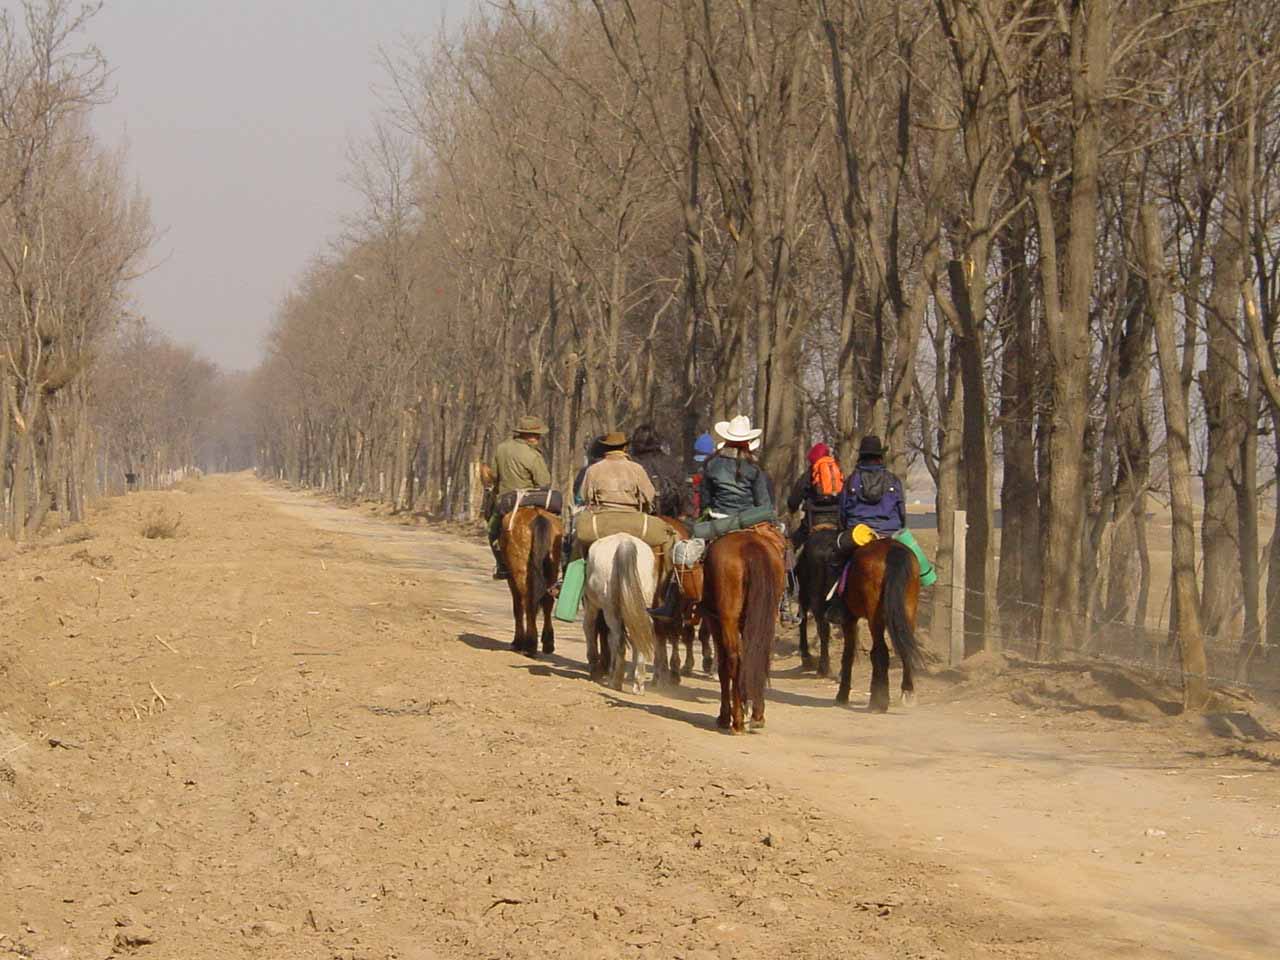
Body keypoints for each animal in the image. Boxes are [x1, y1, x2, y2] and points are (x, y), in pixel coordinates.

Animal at [496, 506, 563, 660]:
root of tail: (538, 515)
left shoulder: (511, 580)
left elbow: (517, 608)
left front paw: (517, 642)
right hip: (552, 568)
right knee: (547, 601)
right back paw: (547, 644)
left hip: (520, 571)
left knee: (528, 602)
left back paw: (530, 645)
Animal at [583, 535, 655, 691]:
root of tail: (624, 542)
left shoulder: (591, 605)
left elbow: (589, 628)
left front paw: (595, 669)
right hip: (641, 606)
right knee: (639, 634)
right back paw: (638, 683)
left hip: (610, 609)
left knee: (619, 641)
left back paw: (616, 682)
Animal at [696, 529, 783, 732]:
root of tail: (750, 545)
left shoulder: (715, 621)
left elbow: (722, 666)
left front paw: (724, 716)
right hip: (766, 618)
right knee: (760, 656)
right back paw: (757, 716)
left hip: (728, 620)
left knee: (735, 659)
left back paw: (736, 720)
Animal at [839, 542, 921, 716]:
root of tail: (892, 549)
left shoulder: (848, 618)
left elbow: (848, 654)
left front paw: (842, 695)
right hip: (907, 609)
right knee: (904, 647)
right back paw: (907, 692)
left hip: (874, 615)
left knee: (880, 652)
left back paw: (879, 703)